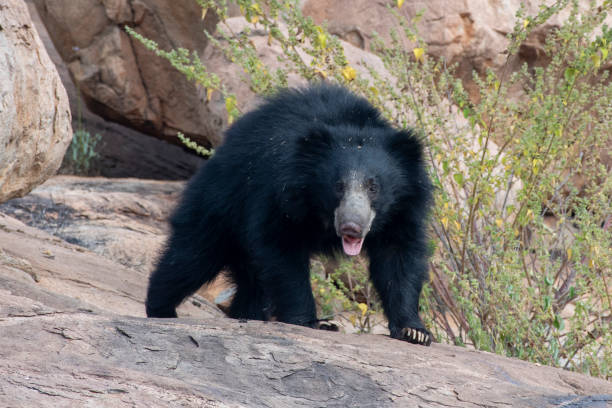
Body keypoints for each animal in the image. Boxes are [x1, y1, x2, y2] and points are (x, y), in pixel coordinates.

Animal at [147, 84, 436, 346]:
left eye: (373, 187)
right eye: (338, 186)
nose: (351, 227)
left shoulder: (404, 209)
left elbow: (397, 258)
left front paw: (414, 331)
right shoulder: (280, 194)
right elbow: (282, 251)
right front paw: (310, 322)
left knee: (250, 282)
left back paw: (245, 316)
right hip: (222, 201)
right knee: (192, 256)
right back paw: (161, 309)